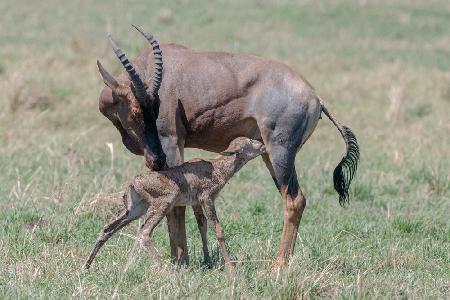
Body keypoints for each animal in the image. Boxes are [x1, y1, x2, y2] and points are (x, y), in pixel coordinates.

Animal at [97, 25, 358, 268]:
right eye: (137, 111)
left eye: (156, 108)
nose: (156, 159)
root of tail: (316, 98)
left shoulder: (172, 142)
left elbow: (177, 204)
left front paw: (180, 261)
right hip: (268, 154)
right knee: (296, 199)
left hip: (280, 151)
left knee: (294, 200)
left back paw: (277, 267)